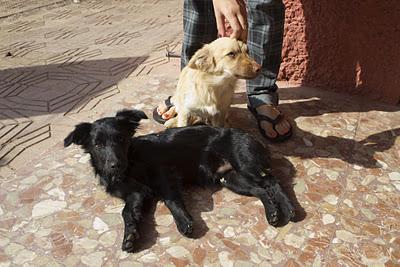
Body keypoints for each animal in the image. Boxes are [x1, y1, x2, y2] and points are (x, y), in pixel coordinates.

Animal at [64, 109, 296, 253]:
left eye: (121, 139)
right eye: (98, 145)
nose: (115, 165)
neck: (131, 162)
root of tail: (252, 137)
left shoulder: (165, 176)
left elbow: (170, 200)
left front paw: (184, 221)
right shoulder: (136, 194)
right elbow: (127, 212)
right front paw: (130, 235)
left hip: (245, 166)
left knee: (272, 182)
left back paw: (290, 210)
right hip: (232, 179)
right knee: (261, 190)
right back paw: (273, 213)